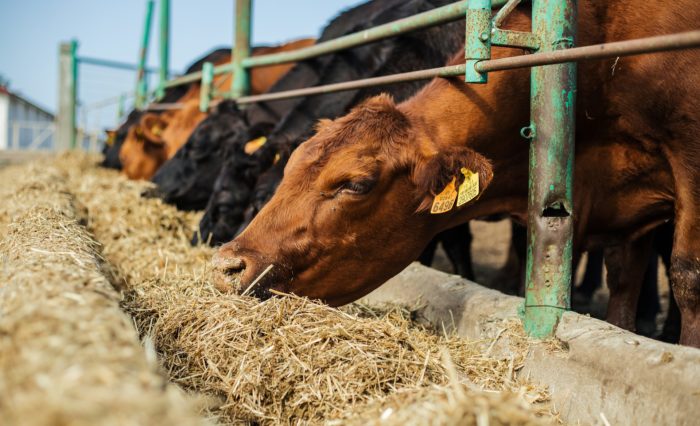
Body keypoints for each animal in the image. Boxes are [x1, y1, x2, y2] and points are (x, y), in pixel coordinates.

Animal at [213, 2, 700, 346]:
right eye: (289, 169)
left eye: (356, 184)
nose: (226, 264)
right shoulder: (627, 205)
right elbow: (623, 282)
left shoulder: (687, 152)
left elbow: (686, 276)